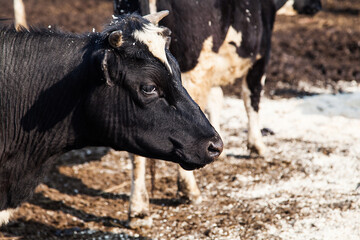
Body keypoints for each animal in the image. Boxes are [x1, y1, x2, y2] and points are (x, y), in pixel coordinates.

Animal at [113, 0, 320, 228]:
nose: (317, 6)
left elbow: (216, 100)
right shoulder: (261, 55)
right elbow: (252, 98)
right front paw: (257, 145)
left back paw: (139, 210)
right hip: (193, 71)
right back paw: (189, 190)